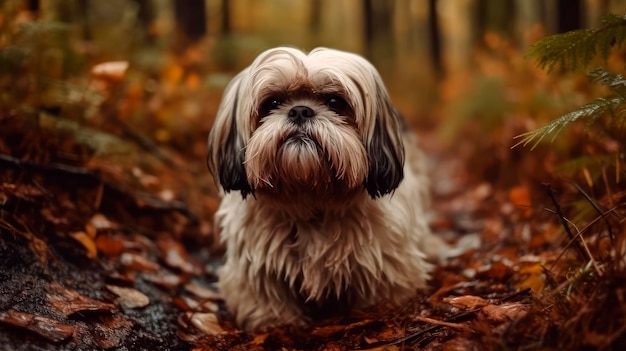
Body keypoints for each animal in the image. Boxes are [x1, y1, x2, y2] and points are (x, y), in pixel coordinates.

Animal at [206, 47, 444, 332]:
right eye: (272, 103)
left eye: (335, 102)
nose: (300, 110)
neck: (312, 198)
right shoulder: (256, 271)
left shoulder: (387, 265)